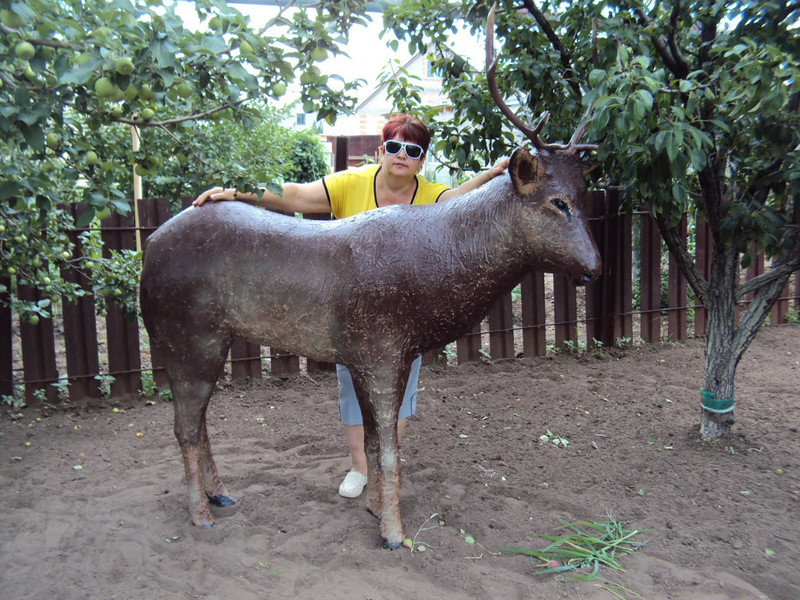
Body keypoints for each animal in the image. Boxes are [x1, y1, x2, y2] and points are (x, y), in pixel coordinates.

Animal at [139, 8, 602, 550]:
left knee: (201, 420)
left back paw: (221, 495)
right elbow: (388, 449)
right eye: (557, 202)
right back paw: (201, 514)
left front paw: (376, 511)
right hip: (185, 335)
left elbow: (381, 442)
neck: (438, 276)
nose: (594, 266)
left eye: (585, 194)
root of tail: (146, 249)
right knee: (184, 426)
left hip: (211, 339)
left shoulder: (364, 355)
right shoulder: (381, 347)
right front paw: (395, 535)